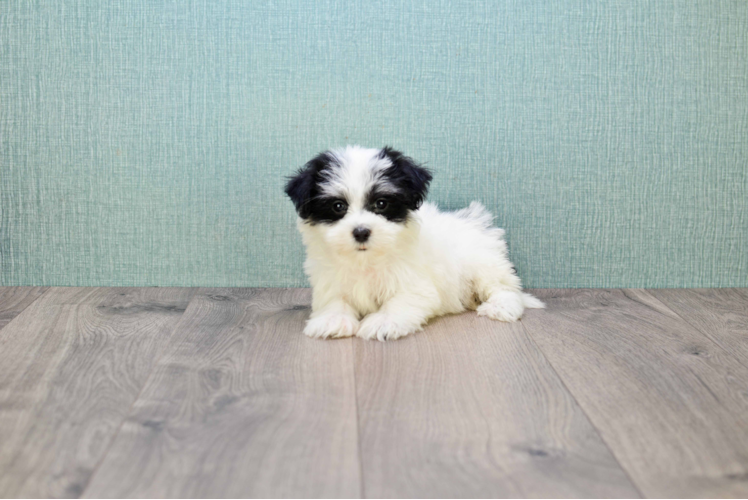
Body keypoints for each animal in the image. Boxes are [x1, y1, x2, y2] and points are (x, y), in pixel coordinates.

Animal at [284, 145, 540, 340]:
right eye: (338, 206)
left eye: (381, 203)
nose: (361, 232)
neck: (366, 259)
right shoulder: (331, 279)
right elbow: (335, 300)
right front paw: (333, 320)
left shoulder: (414, 282)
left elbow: (401, 301)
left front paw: (383, 323)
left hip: (483, 263)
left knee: (504, 287)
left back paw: (501, 307)